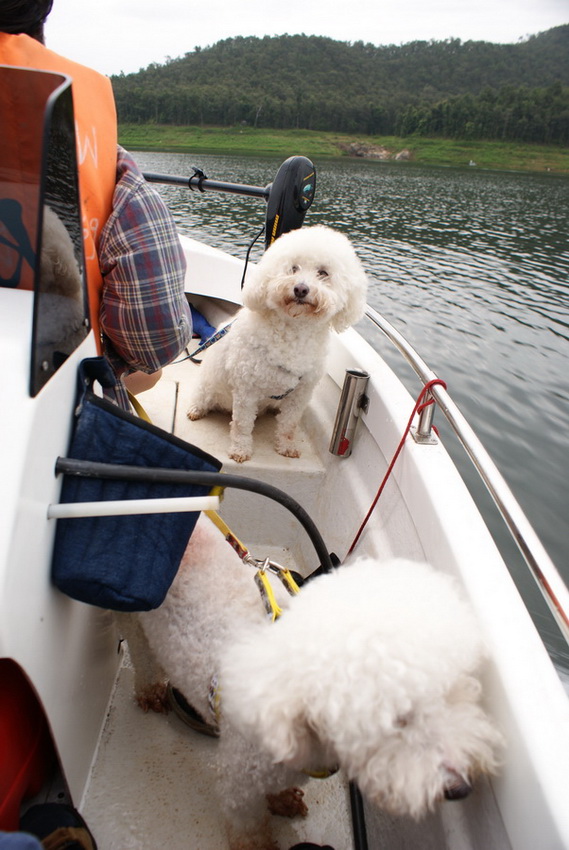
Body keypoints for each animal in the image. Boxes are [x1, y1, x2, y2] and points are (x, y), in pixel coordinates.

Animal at [121, 512, 502, 848]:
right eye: (395, 720)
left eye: (455, 694)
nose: (461, 789)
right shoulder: (238, 783)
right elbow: (248, 830)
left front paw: (282, 800)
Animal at [184, 224, 366, 464]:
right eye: (293, 268)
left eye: (323, 273)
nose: (300, 289)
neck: (294, 331)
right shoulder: (246, 390)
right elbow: (242, 425)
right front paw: (240, 450)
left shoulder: (301, 393)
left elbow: (289, 425)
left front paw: (286, 447)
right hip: (207, 386)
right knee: (201, 397)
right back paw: (196, 409)